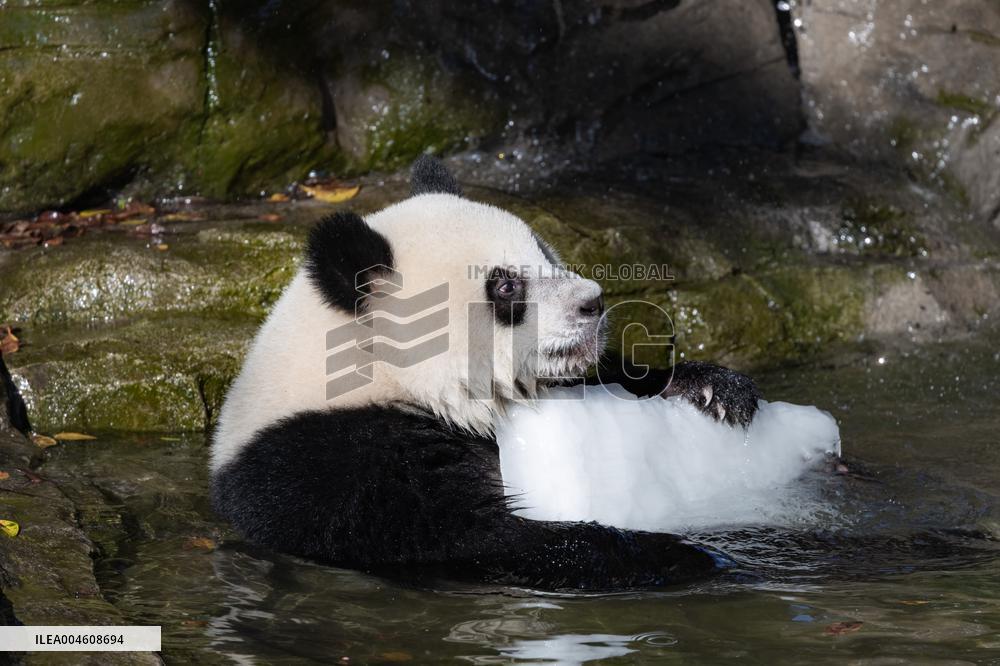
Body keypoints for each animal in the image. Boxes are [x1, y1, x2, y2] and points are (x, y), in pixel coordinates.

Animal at [210, 155, 761, 591]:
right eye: (505, 287)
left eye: (545, 252)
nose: (593, 302)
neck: (383, 378)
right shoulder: (337, 467)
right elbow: (472, 540)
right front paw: (677, 553)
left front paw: (713, 388)